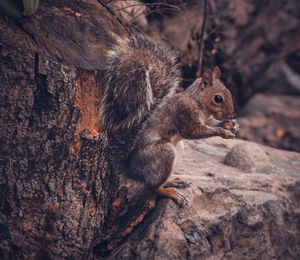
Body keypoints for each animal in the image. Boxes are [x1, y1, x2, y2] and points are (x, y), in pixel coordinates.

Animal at [101, 32, 239, 206]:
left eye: (229, 91)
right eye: (218, 98)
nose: (231, 115)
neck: (198, 103)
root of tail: (132, 171)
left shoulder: (207, 119)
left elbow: (211, 123)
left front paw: (231, 124)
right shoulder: (184, 112)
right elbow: (194, 131)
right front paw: (223, 132)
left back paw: (173, 181)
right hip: (163, 153)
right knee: (153, 187)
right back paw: (171, 192)